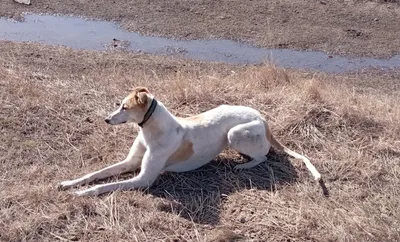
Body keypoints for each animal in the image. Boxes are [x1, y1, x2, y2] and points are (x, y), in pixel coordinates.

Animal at [59, 87, 322, 197]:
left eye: (124, 107)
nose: (105, 119)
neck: (152, 129)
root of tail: (263, 118)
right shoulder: (130, 163)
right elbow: (96, 174)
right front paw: (70, 183)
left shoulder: (143, 180)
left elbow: (104, 186)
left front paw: (81, 194)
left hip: (235, 134)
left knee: (264, 156)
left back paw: (244, 165)